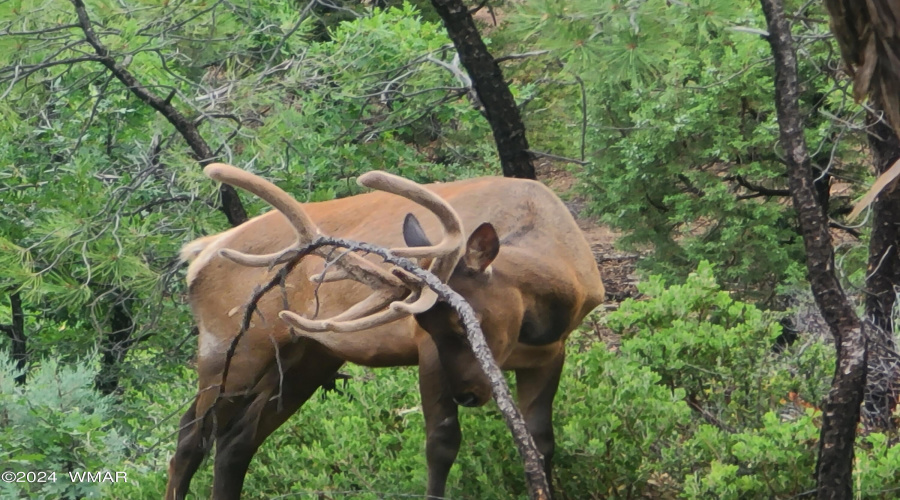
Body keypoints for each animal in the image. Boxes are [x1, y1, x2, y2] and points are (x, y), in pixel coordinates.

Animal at [167, 162, 604, 498]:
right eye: (427, 323)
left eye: (468, 321)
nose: (467, 394)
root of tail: (201, 251)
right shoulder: (427, 352)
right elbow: (441, 443)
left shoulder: (550, 354)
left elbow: (541, 443)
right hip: (231, 345)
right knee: (190, 439)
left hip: (308, 355)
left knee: (236, 440)